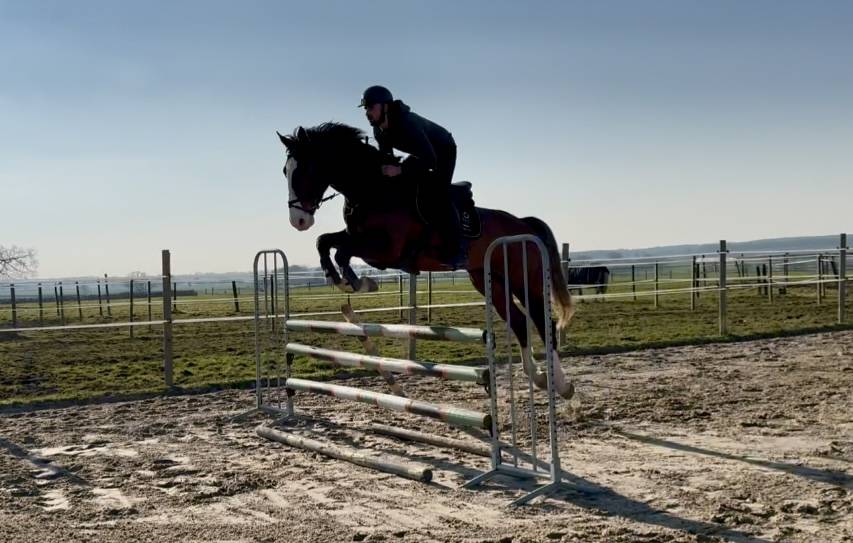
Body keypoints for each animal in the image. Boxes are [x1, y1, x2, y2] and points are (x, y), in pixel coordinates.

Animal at [277, 122, 575, 398]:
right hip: (490, 281)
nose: (298, 221)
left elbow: (342, 251)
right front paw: (338, 278)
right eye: (285, 172)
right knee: (519, 323)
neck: (372, 188)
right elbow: (325, 241)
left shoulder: (386, 249)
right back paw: (538, 377)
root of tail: (523, 223)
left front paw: (358, 282)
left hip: (523, 279)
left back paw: (559, 384)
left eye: (304, 170)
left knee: (543, 322)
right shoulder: (360, 240)